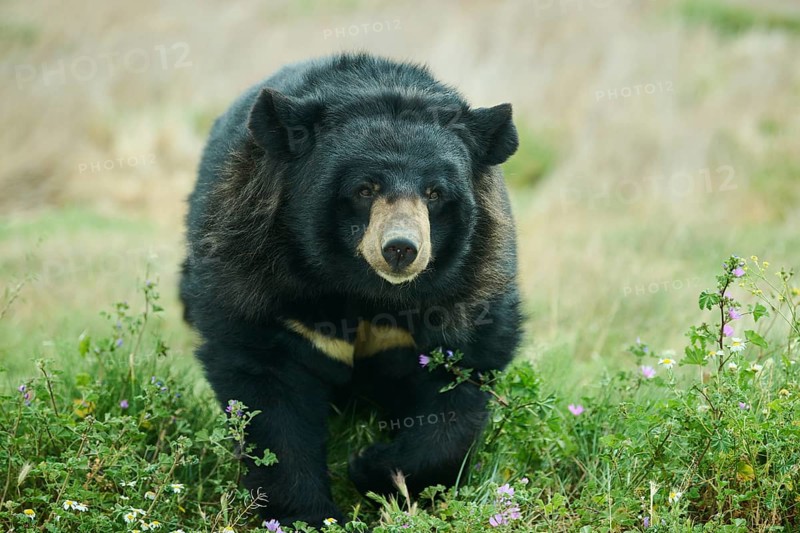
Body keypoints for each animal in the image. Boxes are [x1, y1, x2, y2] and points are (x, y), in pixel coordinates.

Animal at [179, 52, 522, 527]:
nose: (401, 249)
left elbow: (458, 381)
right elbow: (269, 392)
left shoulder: (470, 286)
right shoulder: (254, 268)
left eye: (435, 192)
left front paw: (373, 468)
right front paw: (311, 515)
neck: (365, 291)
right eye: (364, 189)